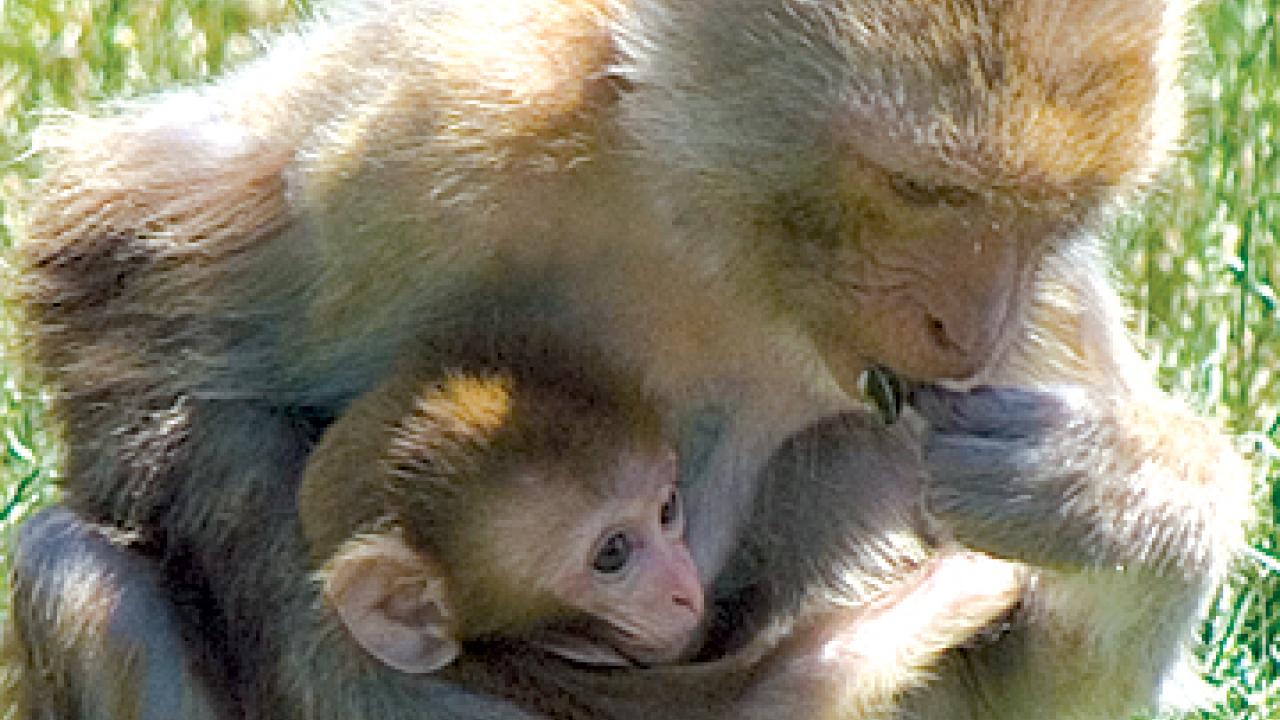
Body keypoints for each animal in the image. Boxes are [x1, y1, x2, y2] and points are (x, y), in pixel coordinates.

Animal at [8, 0, 1251, 718]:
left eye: (1044, 215)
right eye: (922, 191)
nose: (969, 327)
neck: (708, 222)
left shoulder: (1036, 299)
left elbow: (1048, 691)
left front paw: (1103, 492)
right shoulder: (448, 111)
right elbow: (122, 286)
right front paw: (392, 687)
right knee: (79, 574)